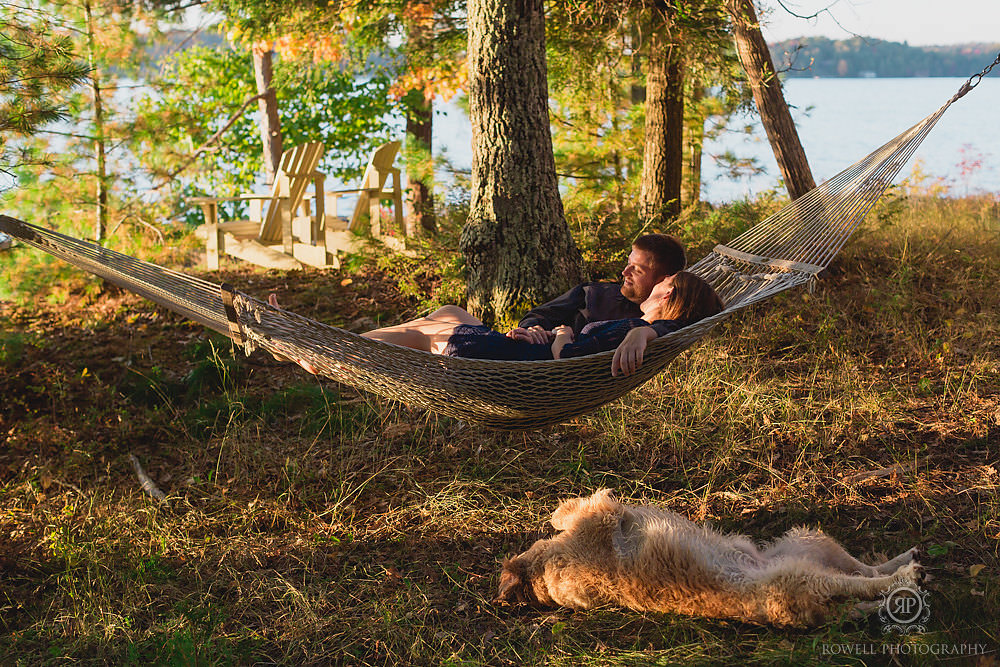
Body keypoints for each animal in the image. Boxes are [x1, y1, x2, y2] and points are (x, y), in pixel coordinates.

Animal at [496, 490, 924, 628]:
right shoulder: (595, 520)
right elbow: (583, 508)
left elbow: (563, 513)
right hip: (805, 574)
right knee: (866, 585)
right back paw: (907, 576)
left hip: (809, 540)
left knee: (865, 572)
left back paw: (906, 560)